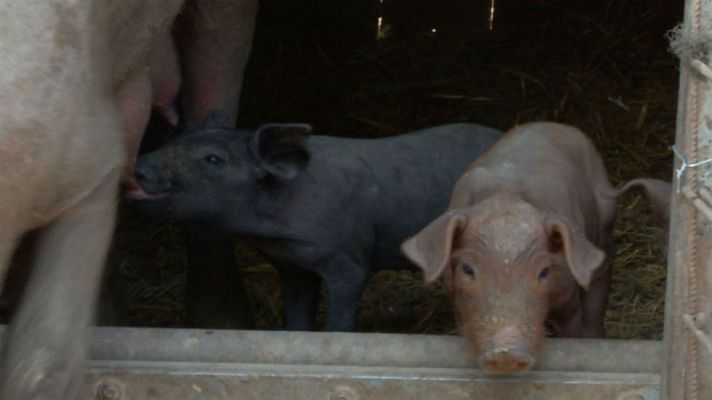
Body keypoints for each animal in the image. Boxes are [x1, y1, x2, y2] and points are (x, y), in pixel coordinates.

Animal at [127, 122, 502, 331]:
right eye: (172, 139)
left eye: (213, 159)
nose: (138, 168)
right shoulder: (293, 267)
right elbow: (295, 320)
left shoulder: (348, 258)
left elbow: (340, 320)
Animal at [401, 122, 668, 374]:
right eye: (467, 269)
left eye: (544, 271)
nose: (506, 352)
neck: (506, 196)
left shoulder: (569, 298)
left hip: (604, 227)